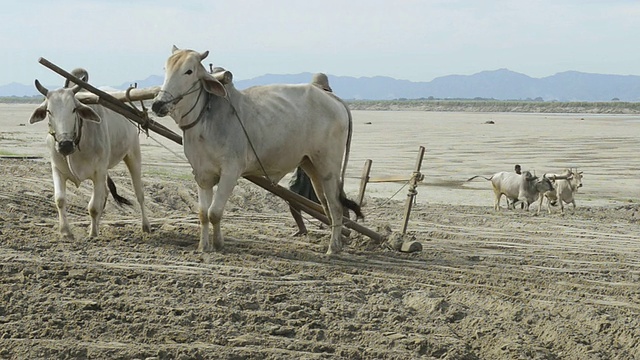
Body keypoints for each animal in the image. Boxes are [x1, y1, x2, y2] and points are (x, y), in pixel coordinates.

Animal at [30, 69, 151, 240]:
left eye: (74, 109)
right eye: (49, 111)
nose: (65, 144)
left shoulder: (99, 172)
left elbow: (93, 206)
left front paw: (93, 233)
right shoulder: (57, 169)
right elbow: (60, 200)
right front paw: (65, 231)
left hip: (133, 154)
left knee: (139, 193)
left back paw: (145, 225)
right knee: (105, 194)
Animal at [149, 46, 360, 255]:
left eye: (189, 71)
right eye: (165, 69)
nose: (158, 104)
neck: (205, 121)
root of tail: (333, 98)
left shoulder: (230, 172)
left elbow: (214, 212)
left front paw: (218, 244)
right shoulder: (202, 174)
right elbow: (203, 213)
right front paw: (203, 246)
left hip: (328, 167)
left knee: (336, 206)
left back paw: (333, 248)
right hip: (312, 165)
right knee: (326, 205)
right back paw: (339, 240)